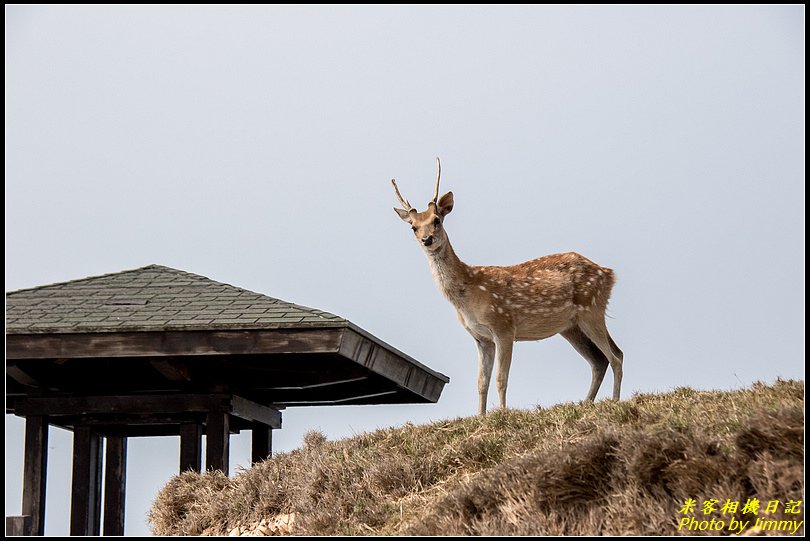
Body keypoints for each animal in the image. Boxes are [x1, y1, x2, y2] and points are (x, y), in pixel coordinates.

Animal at [392, 158, 624, 416]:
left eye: (437, 220)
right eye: (413, 227)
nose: (427, 239)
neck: (467, 296)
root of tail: (609, 273)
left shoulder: (503, 326)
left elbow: (501, 379)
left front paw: (502, 413)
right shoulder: (480, 337)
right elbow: (481, 382)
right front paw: (481, 416)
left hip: (591, 308)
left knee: (616, 356)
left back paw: (615, 401)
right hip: (571, 327)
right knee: (600, 360)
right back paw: (586, 403)